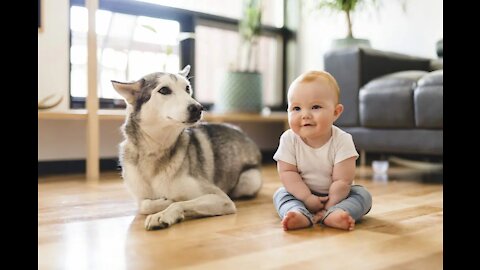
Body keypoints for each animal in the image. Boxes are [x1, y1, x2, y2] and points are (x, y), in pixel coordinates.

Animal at [111, 65, 262, 230]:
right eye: (164, 90)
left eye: (187, 88)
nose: (198, 108)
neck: (156, 150)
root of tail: (240, 131)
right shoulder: (140, 197)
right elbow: (144, 205)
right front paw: (164, 203)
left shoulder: (221, 198)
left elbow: (179, 203)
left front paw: (164, 213)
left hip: (249, 180)